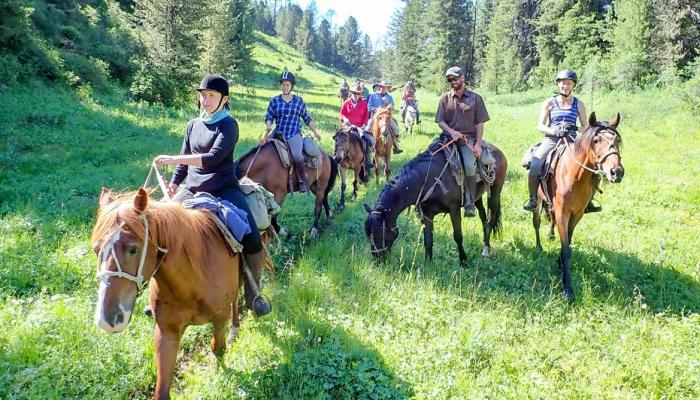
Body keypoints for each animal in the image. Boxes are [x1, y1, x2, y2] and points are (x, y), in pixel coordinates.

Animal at [95, 188, 274, 400]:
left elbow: (218, 349)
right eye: (96, 250)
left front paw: (222, 375)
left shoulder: (219, 317)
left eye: (133, 249)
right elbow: (162, 390)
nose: (108, 320)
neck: (190, 282)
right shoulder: (167, 332)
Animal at [364, 134, 506, 266]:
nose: (378, 259)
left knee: (490, 220)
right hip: (477, 197)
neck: (429, 179)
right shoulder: (427, 214)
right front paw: (428, 262)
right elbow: (428, 239)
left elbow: (458, 236)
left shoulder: (454, 210)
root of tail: (498, 151)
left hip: (495, 194)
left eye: (379, 232)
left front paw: (464, 261)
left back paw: (486, 251)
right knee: (483, 216)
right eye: (368, 233)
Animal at [532, 112, 628, 300]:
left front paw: (560, 264)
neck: (575, 177)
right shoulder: (563, 213)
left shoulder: (576, 214)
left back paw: (550, 235)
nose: (616, 172)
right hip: (537, 201)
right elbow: (566, 249)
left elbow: (568, 243)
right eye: (596, 140)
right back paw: (539, 247)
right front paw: (567, 289)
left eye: (617, 140)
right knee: (537, 222)